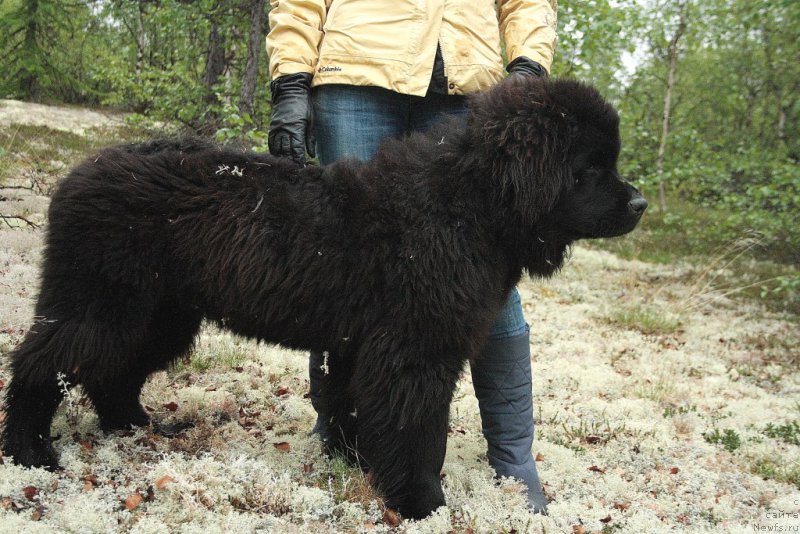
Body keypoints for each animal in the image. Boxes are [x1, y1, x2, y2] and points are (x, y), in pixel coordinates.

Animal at [1, 77, 644, 520]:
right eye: (590, 167)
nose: (639, 204)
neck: (468, 205)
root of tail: (77, 172)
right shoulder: (416, 347)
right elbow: (417, 429)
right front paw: (423, 503)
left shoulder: (368, 345)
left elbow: (360, 409)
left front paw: (362, 467)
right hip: (103, 301)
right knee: (41, 363)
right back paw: (30, 451)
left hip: (159, 312)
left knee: (111, 371)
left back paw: (134, 427)